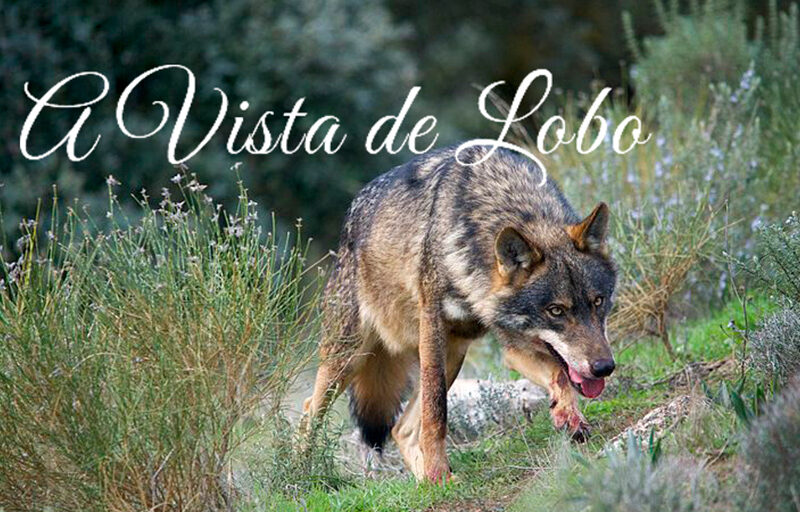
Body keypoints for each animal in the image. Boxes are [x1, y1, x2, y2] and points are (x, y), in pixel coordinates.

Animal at [301, 145, 617, 483]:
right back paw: (301, 473)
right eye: (556, 311)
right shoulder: (433, 326)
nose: (604, 367)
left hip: (452, 355)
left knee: (401, 430)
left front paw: (568, 415)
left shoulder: (513, 345)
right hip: (350, 359)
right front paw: (438, 470)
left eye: (598, 301)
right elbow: (436, 411)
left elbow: (559, 374)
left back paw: (428, 483)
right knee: (309, 411)